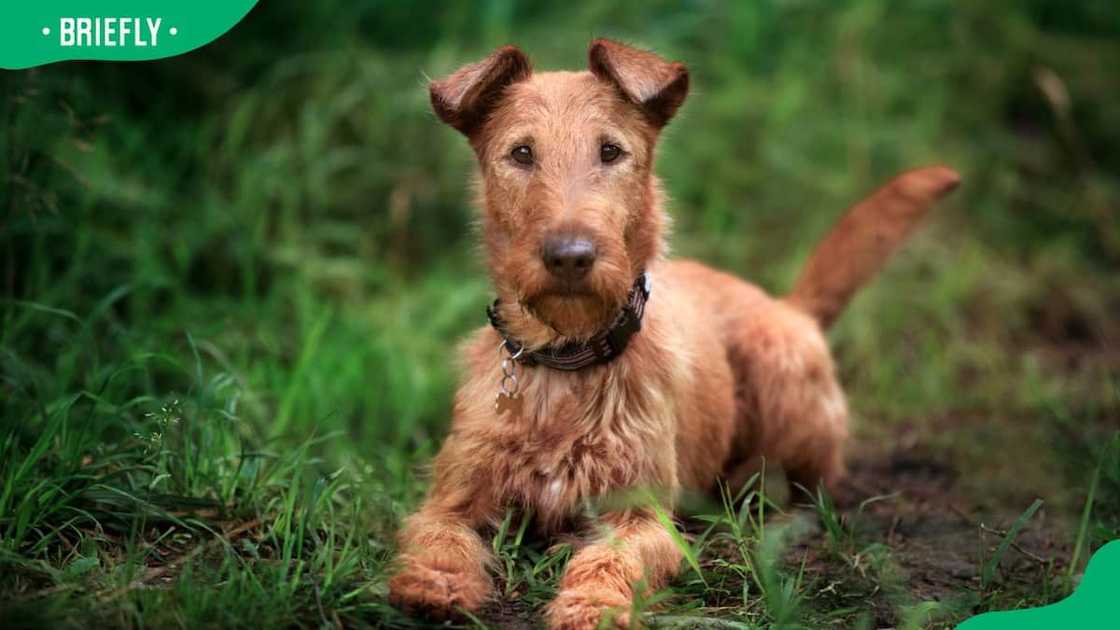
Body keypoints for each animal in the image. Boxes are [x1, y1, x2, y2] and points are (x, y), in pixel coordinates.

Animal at [389, 40, 958, 627]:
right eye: (521, 153)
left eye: (611, 151)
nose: (571, 256)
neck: (566, 360)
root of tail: (789, 306)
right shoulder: (452, 497)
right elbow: (439, 536)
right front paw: (435, 584)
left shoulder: (644, 516)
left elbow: (609, 559)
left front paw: (592, 605)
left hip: (780, 375)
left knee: (807, 487)